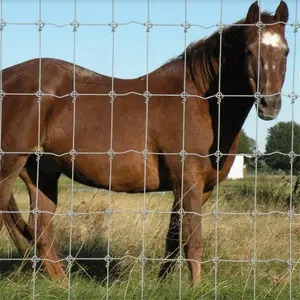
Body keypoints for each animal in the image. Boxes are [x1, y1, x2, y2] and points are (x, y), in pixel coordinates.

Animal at [1, 1, 290, 284]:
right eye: (250, 51)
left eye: (286, 52)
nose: (270, 105)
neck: (199, 102)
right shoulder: (188, 182)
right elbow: (193, 241)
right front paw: (196, 288)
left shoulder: (198, 188)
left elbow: (174, 238)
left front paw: (162, 283)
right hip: (10, 164)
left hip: (41, 172)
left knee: (40, 229)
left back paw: (62, 284)